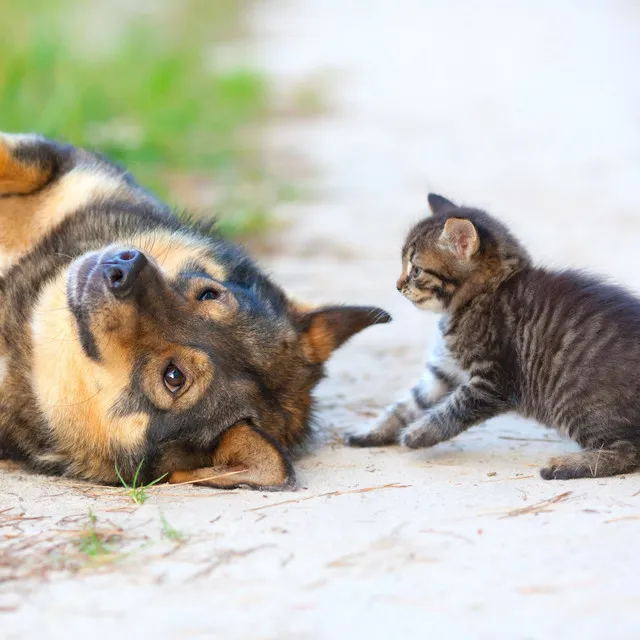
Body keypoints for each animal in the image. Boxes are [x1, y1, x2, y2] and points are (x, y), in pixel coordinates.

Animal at [348, 192, 640, 478]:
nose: (398, 286)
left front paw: (416, 434)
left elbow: (452, 410)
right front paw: (372, 431)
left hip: (575, 405)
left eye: (415, 270)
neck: (481, 295)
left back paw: (565, 465)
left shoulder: (492, 382)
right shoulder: (443, 371)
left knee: (628, 451)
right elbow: (405, 404)